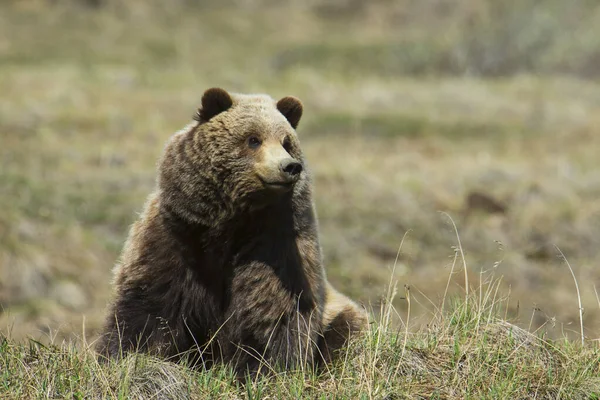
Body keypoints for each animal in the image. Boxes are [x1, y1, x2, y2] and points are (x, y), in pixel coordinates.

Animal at [95, 87, 366, 376]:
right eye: (253, 139)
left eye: (286, 141)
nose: (289, 166)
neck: (226, 227)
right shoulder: (173, 238)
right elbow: (149, 305)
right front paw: (127, 356)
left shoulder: (274, 245)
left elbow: (272, 310)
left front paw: (261, 369)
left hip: (341, 314)